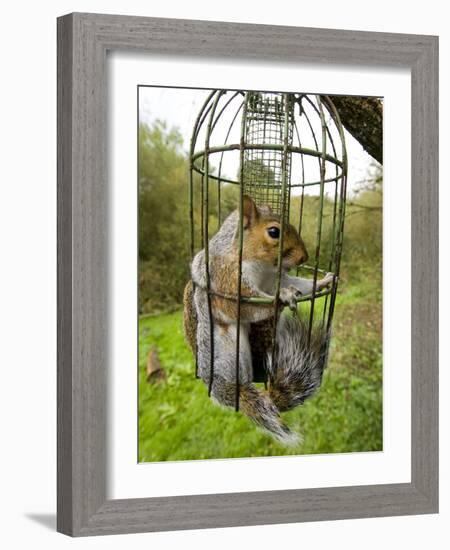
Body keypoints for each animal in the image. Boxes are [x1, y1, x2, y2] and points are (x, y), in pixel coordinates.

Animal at [183, 196, 334, 446]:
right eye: (274, 231)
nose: (304, 257)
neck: (261, 264)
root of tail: (218, 384)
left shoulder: (275, 278)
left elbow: (297, 283)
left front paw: (323, 282)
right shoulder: (227, 279)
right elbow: (247, 306)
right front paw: (283, 297)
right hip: (230, 352)